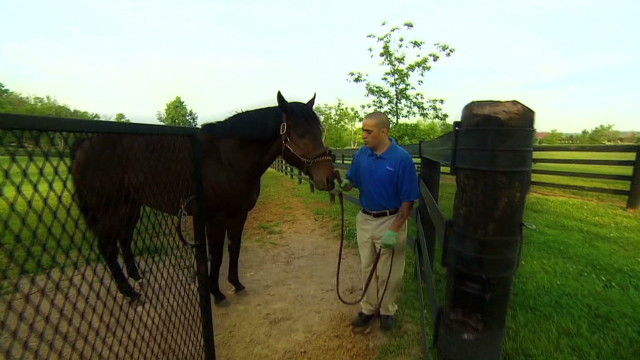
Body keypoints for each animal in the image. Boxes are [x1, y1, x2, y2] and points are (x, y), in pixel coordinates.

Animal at [71, 92, 336, 300]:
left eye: (320, 130)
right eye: (300, 133)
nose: (329, 177)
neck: (226, 158)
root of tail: (84, 143)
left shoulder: (238, 214)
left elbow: (234, 248)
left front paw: (236, 284)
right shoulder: (214, 218)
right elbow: (217, 254)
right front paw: (216, 292)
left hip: (130, 207)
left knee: (125, 240)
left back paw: (137, 278)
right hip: (110, 210)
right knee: (108, 248)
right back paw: (129, 292)